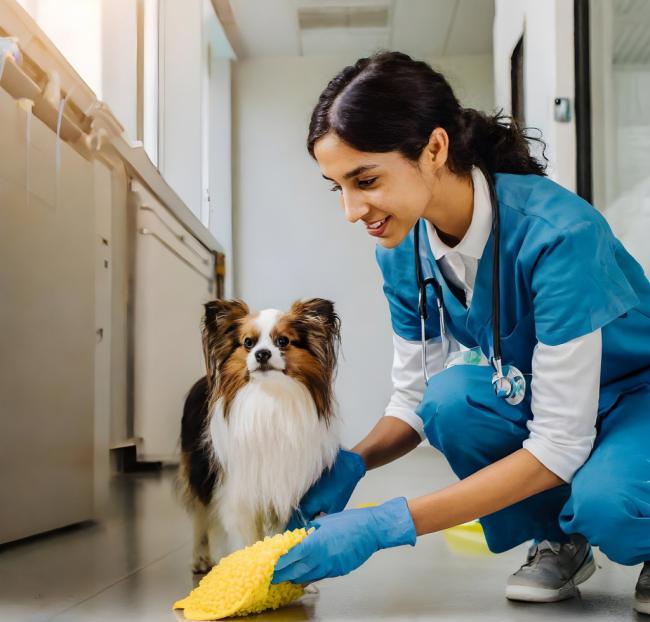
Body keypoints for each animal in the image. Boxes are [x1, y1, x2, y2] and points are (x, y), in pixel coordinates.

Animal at [175, 298, 342, 576]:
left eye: (283, 341)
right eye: (248, 343)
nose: (262, 354)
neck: (269, 396)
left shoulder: (282, 491)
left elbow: (277, 537)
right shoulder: (238, 495)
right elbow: (245, 540)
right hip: (200, 472)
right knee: (201, 516)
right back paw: (200, 558)